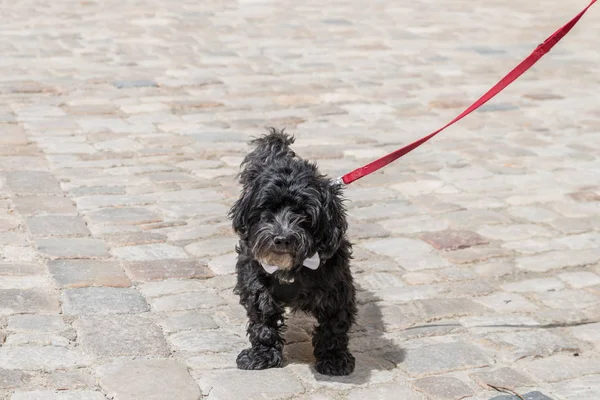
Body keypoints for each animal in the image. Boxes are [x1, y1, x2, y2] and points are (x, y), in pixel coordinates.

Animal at [230, 129, 356, 376]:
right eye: (267, 209)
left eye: (304, 213)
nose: (282, 238)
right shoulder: (256, 284)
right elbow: (263, 322)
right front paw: (262, 356)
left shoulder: (337, 291)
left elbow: (334, 327)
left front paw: (334, 360)